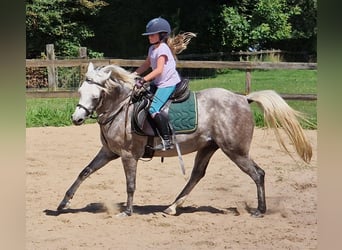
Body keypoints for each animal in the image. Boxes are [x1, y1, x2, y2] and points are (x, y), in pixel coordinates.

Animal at [56, 62, 312, 217]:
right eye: (80, 92)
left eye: (95, 96)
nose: (77, 118)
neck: (120, 108)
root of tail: (243, 99)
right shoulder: (108, 152)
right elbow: (85, 172)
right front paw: (63, 203)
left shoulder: (128, 156)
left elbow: (130, 184)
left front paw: (127, 211)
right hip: (208, 148)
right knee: (197, 175)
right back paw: (171, 207)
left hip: (236, 151)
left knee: (258, 174)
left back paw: (260, 210)